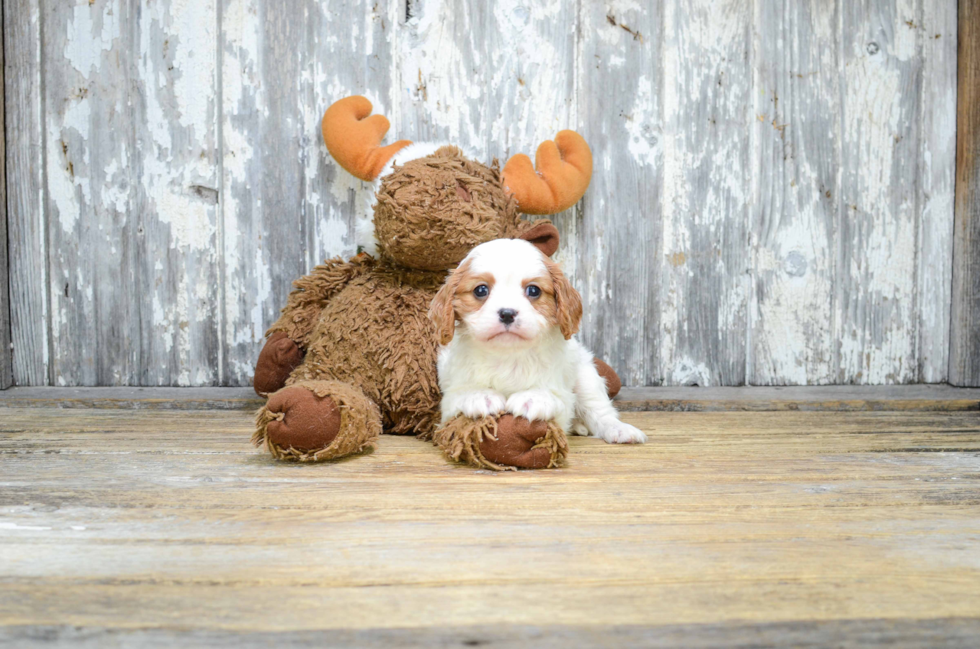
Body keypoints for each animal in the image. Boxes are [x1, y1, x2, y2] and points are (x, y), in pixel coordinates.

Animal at [430, 238, 648, 446]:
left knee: (601, 412)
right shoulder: (449, 401)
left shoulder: (563, 396)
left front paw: (533, 398)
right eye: (481, 290)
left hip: (586, 376)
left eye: (534, 290)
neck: (508, 354)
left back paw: (619, 430)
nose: (507, 313)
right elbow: (459, 397)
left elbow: (555, 399)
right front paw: (478, 394)